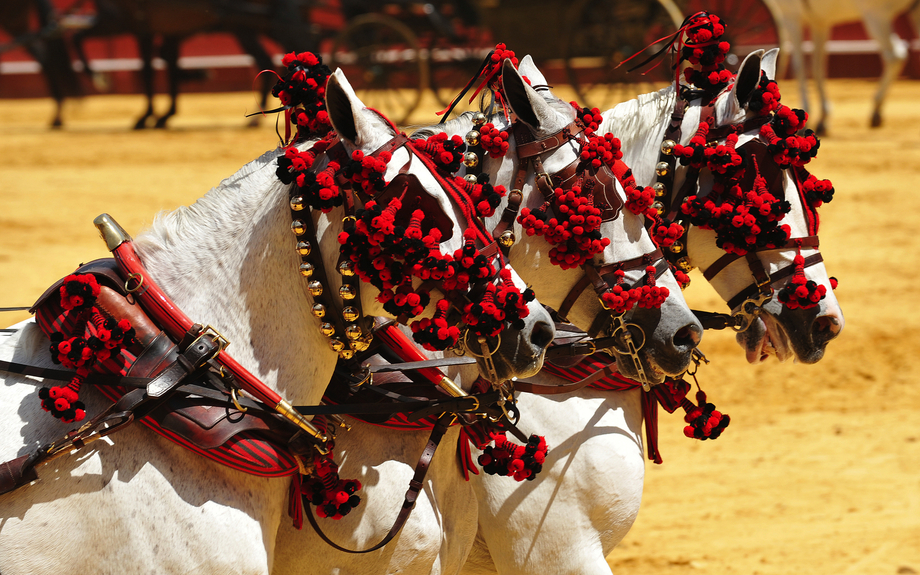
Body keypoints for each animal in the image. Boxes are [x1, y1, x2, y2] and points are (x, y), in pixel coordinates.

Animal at [772, 0, 920, 132]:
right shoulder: (820, 22)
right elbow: (818, 67)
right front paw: (823, 118)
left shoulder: (791, 16)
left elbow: (799, 67)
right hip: (911, 11)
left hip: (876, 15)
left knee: (895, 56)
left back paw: (876, 109)